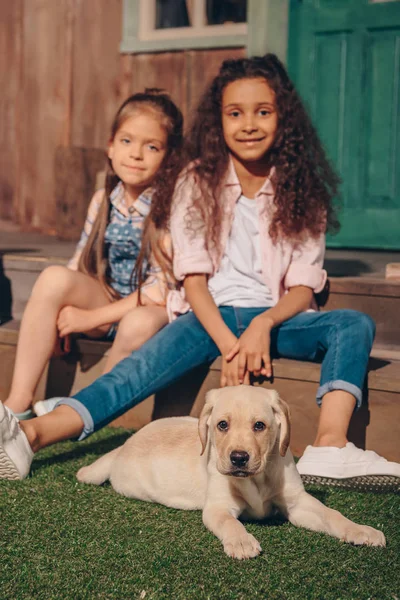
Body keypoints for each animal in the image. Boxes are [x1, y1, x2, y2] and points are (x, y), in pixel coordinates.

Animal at [76, 386, 386, 560]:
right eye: (222, 425)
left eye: (259, 426)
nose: (238, 458)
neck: (257, 479)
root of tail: (123, 446)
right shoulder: (218, 507)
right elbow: (229, 523)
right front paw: (242, 541)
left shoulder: (298, 503)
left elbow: (332, 514)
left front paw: (361, 530)